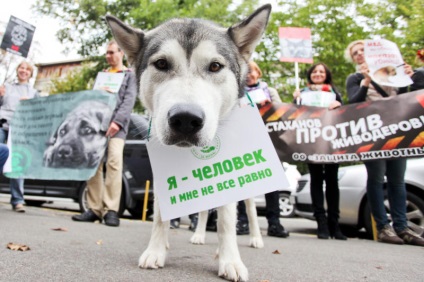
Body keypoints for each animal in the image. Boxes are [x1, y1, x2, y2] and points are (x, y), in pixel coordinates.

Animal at [106, 4, 272, 282]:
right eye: (161, 64)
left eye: (215, 66)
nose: (185, 119)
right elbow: (160, 217)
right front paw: (156, 251)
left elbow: (227, 221)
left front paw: (230, 260)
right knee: (204, 211)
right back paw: (199, 235)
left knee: (249, 210)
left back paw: (256, 240)